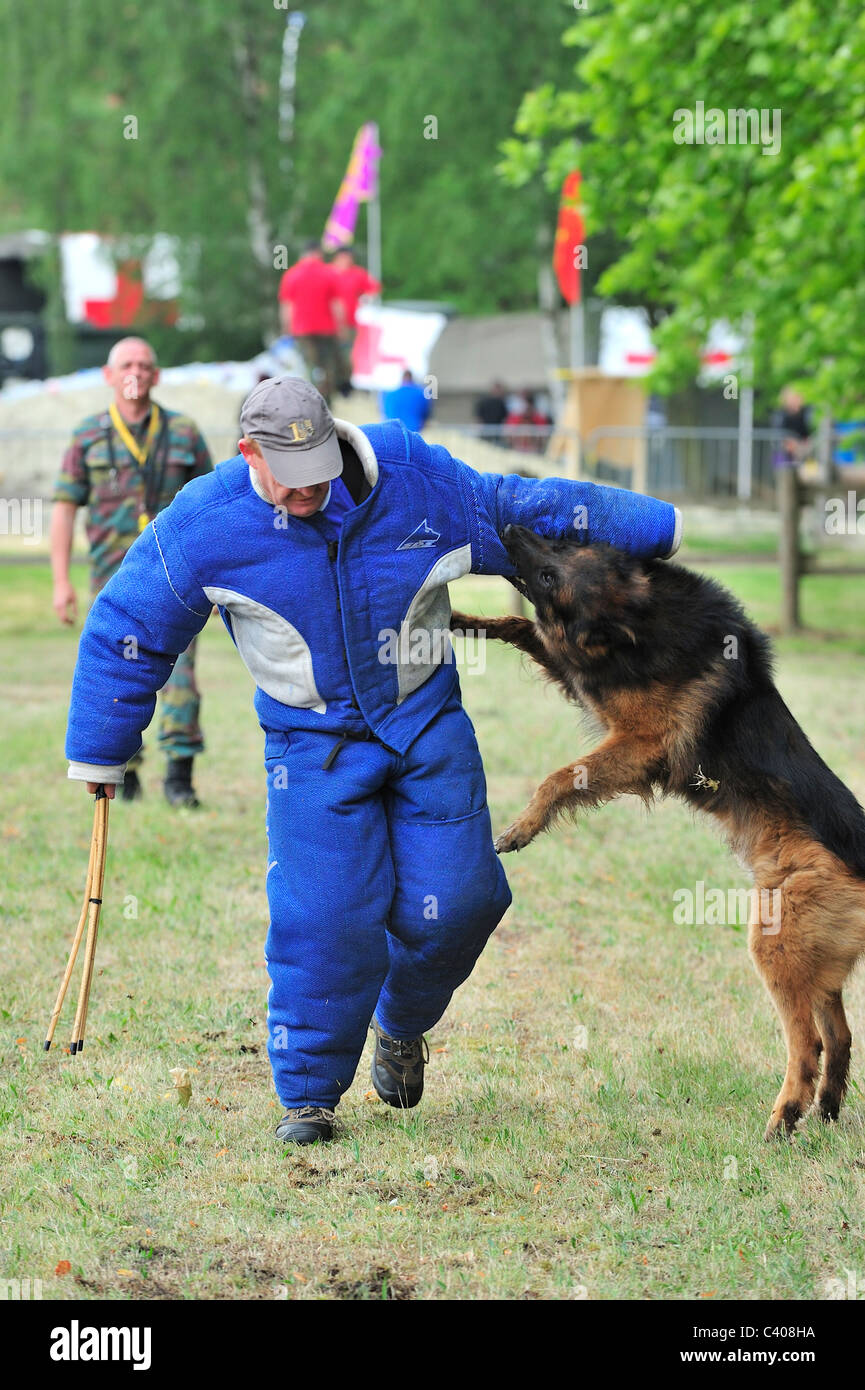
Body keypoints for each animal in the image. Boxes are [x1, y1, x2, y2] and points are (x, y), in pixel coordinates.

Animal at [453, 522, 865, 1139]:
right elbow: (522, 627)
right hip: (817, 963)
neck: (644, 618)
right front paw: (461, 621)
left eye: (551, 573)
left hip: (776, 942)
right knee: (840, 1036)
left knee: (809, 1042)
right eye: (561, 541)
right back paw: (826, 1112)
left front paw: (522, 827)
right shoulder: (589, 679)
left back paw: (784, 1116)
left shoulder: (640, 743)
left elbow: (561, 777)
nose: (509, 527)